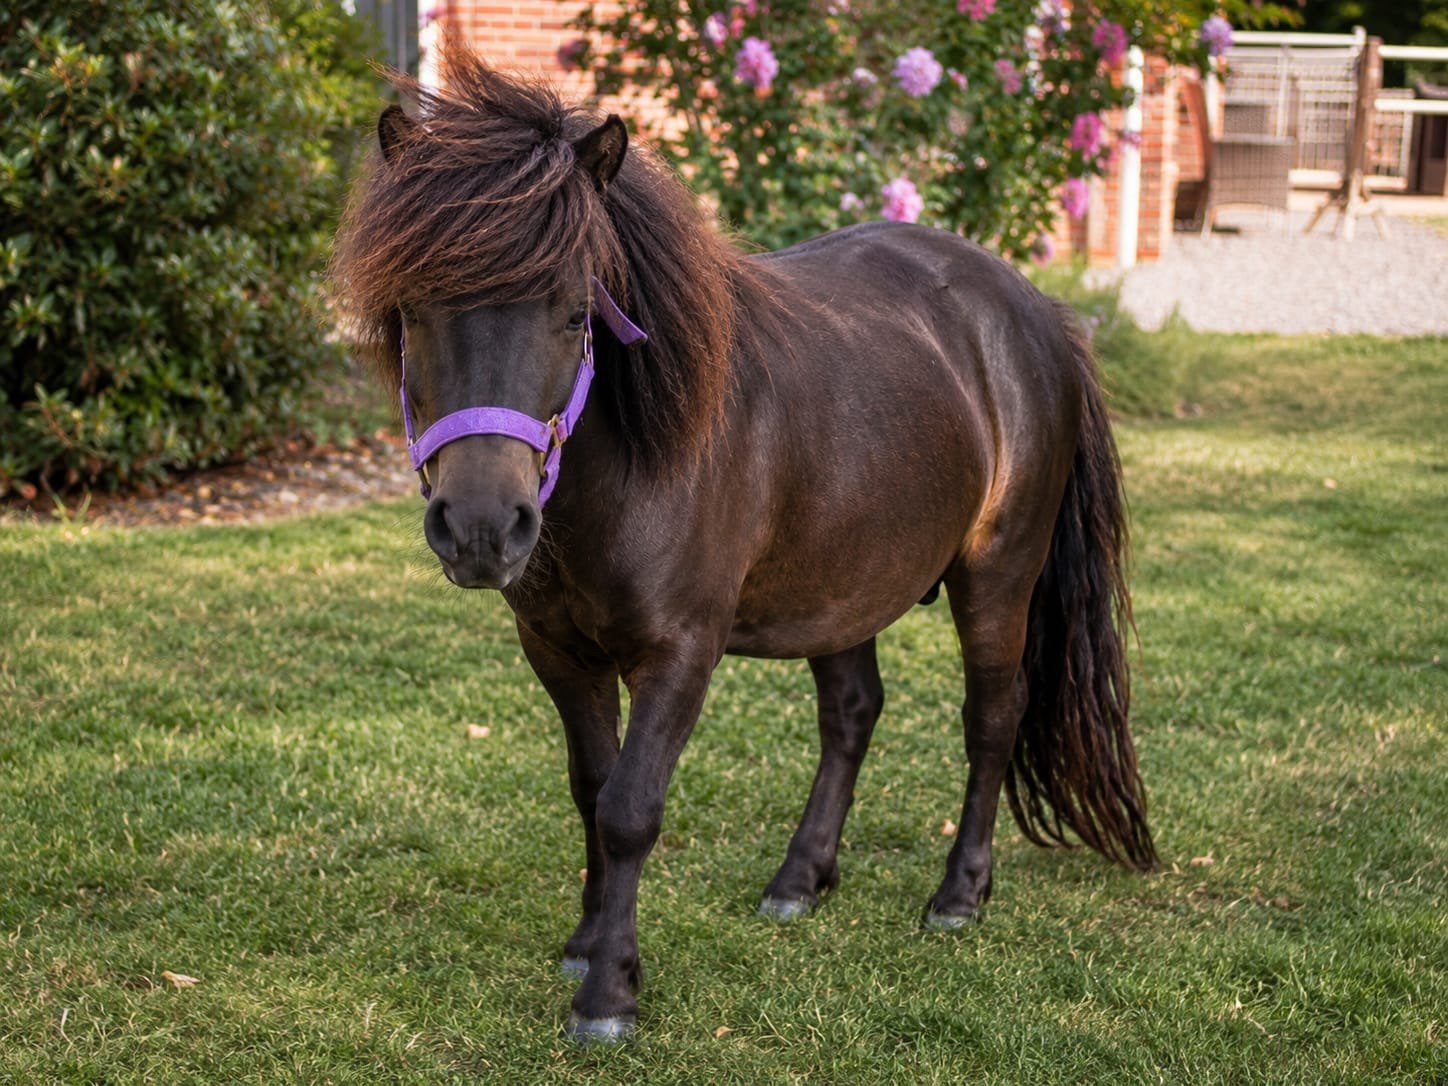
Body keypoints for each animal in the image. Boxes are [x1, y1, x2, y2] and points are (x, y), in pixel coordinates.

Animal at [330, 47, 1157, 1044]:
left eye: (574, 313)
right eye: (414, 310)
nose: (484, 527)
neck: (632, 470)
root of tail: (1036, 310)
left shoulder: (682, 651)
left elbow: (630, 808)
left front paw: (609, 993)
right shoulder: (557, 651)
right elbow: (589, 788)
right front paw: (586, 941)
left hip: (997, 576)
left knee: (992, 717)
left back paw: (959, 896)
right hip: (846, 585)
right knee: (852, 713)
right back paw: (801, 879)